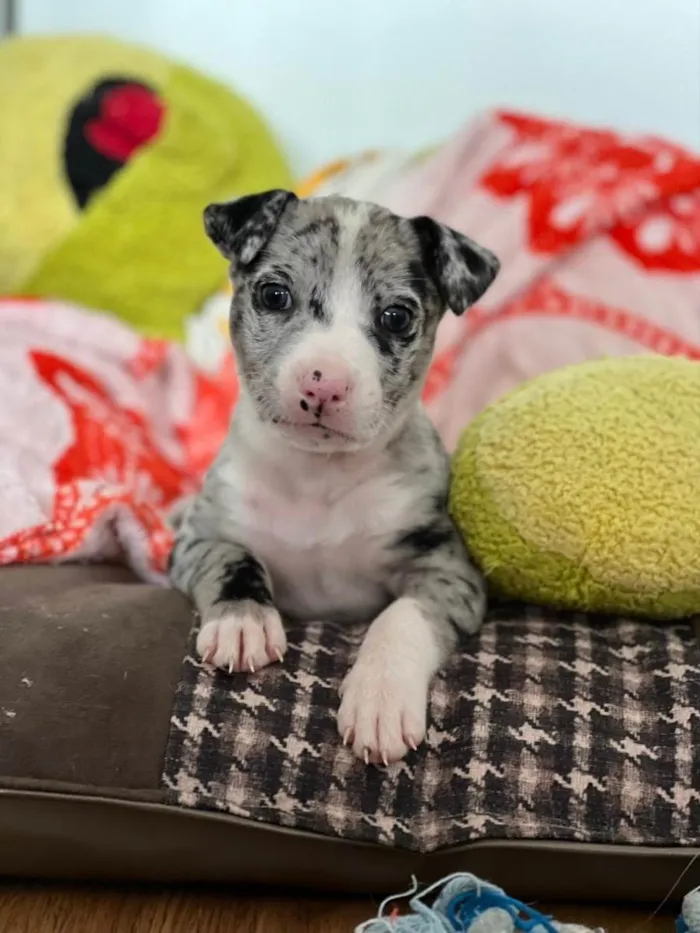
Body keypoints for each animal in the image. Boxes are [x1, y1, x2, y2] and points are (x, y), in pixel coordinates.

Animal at [169, 191, 498, 764]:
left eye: (396, 317)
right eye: (274, 295)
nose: (324, 384)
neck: (317, 475)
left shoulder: (448, 570)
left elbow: (402, 617)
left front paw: (380, 697)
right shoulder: (199, 538)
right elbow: (232, 557)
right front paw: (242, 620)